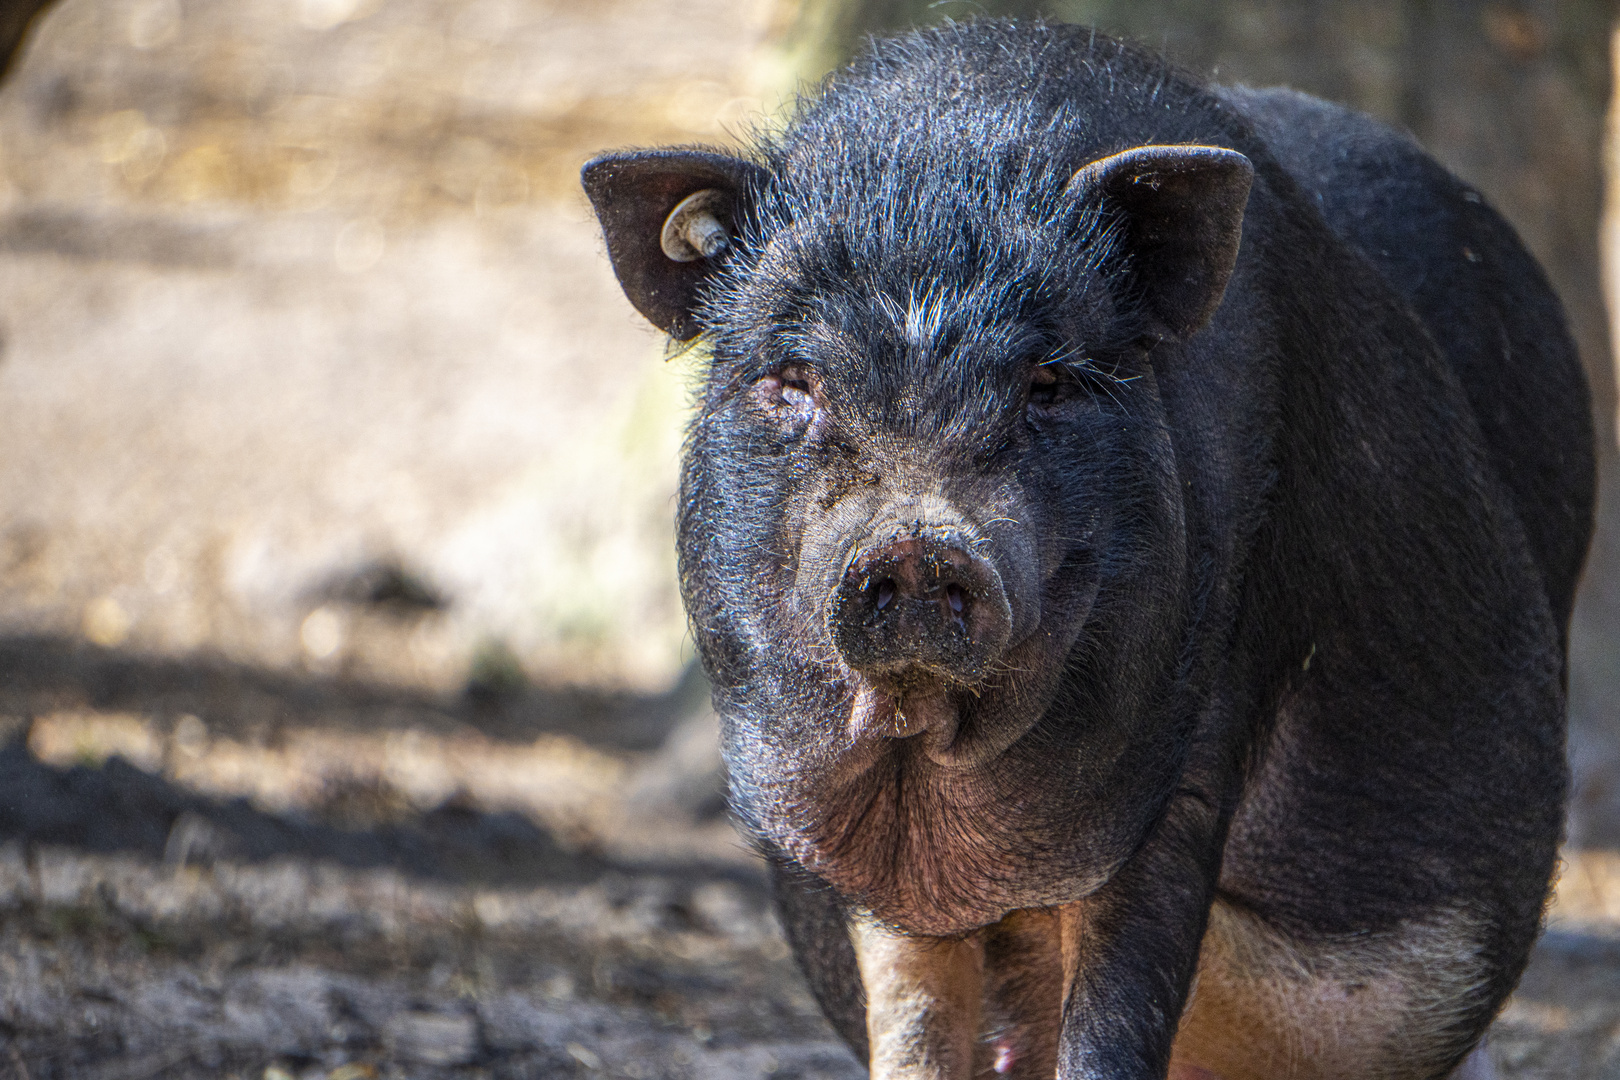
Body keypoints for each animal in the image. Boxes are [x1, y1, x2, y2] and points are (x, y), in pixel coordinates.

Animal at [579, 21, 1594, 1080]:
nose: (917, 540)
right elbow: (910, 1017)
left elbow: (1117, 1007)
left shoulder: (1201, 735)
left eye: (1049, 383)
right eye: (794, 379)